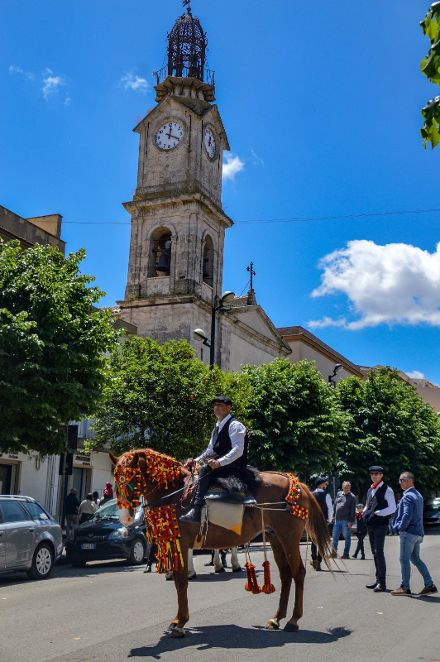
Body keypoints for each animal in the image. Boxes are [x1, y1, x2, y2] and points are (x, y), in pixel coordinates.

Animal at [111, 448, 332, 638]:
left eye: (132, 479)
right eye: (116, 481)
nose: (126, 518)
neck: (175, 495)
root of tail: (297, 483)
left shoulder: (182, 543)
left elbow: (181, 582)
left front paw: (180, 622)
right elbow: (178, 581)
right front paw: (178, 620)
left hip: (289, 538)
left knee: (298, 573)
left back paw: (293, 620)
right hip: (275, 538)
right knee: (286, 575)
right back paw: (276, 619)